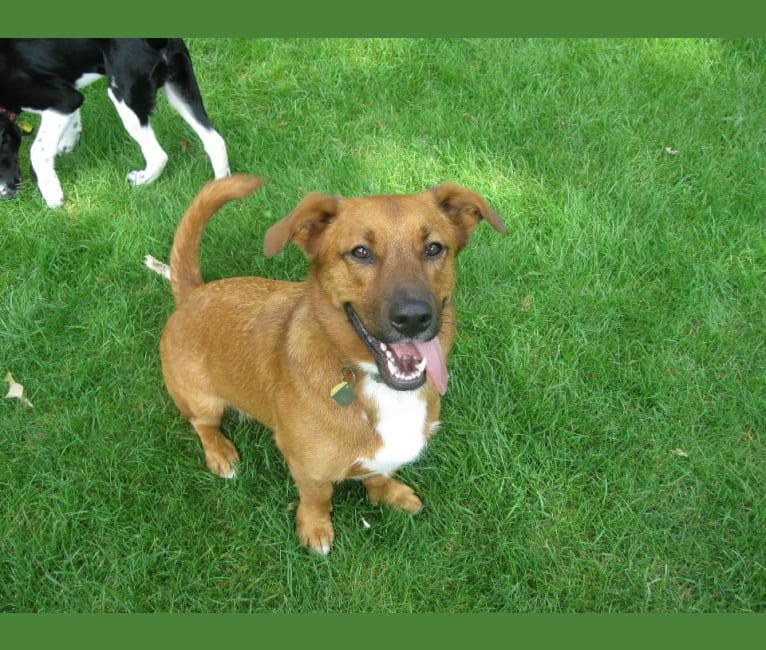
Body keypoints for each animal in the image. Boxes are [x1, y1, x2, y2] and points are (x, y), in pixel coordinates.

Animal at [0, 39, 230, 206]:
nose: (4, 196)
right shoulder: (69, 96)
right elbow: (71, 122)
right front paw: (67, 145)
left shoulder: (62, 98)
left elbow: (38, 151)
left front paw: (52, 195)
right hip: (180, 89)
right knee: (215, 142)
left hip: (124, 97)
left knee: (158, 155)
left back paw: (142, 180)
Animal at [159, 173, 508, 552]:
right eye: (360, 252)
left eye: (433, 248)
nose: (414, 318)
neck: (371, 380)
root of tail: (193, 293)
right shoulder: (306, 466)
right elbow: (318, 497)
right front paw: (315, 528)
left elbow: (380, 474)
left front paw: (388, 494)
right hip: (203, 402)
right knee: (203, 426)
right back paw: (220, 454)